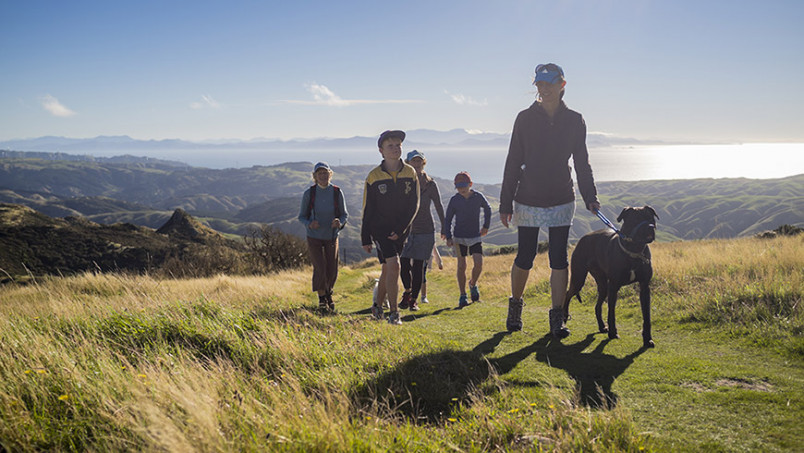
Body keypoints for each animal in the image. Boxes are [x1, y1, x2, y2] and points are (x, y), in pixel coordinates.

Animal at [564, 205, 660, 346]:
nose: (650, 227)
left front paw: (647, 339)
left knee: (597, 306)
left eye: (650, 218)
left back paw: (601, 326)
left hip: (602, 285)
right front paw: (613, 333)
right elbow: (611, 312)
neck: (634, 250)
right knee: (567, 294)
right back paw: (564, 316)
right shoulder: (614, 286)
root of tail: (583, 237)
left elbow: (646, 316)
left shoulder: (644, 287)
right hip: (579, 278)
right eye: (635, 219)